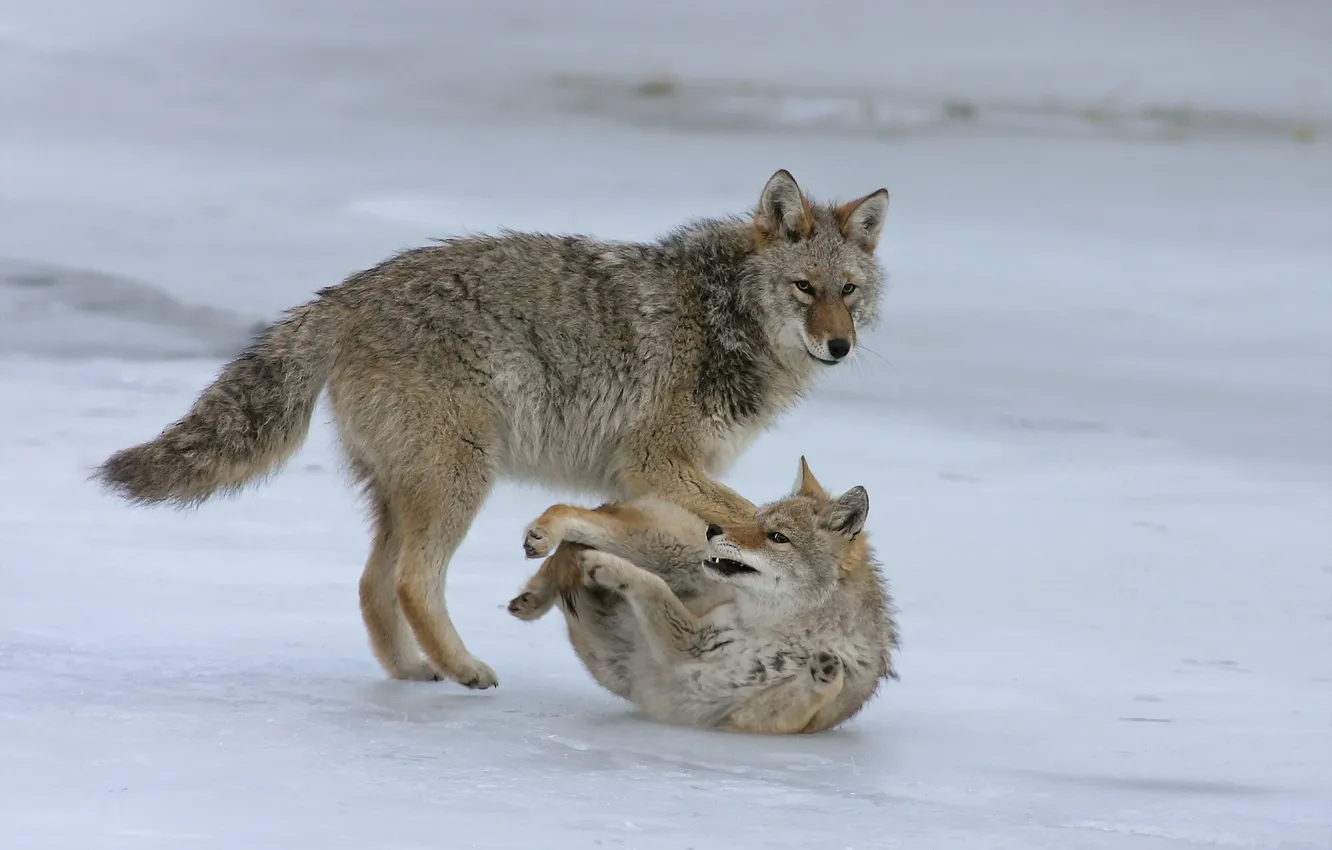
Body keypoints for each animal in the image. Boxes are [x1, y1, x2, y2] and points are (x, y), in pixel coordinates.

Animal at [94, 169, 890, 689]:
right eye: (804, 288)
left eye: (848, 292)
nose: (838, 346)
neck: (722, 320)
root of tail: (346, 293)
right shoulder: (656, 465)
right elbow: (739, 520)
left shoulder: (649, 482)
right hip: (460, 481)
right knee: (413, 581)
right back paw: (464, 668)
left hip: (409, 494)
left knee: (372, 584)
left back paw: (415, 670)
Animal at [508, 458, 898, 734]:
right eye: (757, 520)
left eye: (777, 537)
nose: (714, 529)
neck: (788, 632)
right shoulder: (693, 640)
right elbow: (652, 584)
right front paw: (606, 568)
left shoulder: (750, 719)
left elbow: (814, 691)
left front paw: (826, 672)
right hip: (666, 549)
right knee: (571, 517)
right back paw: (542, 553)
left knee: (572, 548)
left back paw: (535, 596)